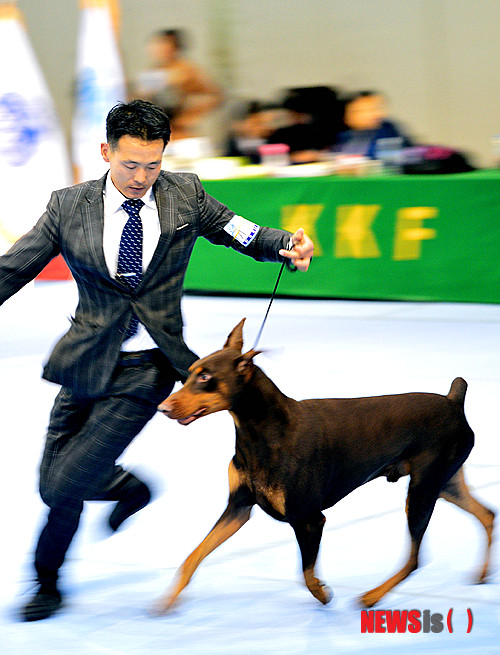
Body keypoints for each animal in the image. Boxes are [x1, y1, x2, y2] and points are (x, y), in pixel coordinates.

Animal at [157, 320, 496, 612]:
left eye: (205, 377)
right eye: (190, 372)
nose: (163, 407)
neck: (264, 431)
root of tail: (454, 402)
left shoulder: (308, 518)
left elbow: (306, 573)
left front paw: (322, 592)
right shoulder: (239, 507)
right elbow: (193, 556)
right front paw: (167, 601)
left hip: (423, 489)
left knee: (415, 558)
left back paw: (371, 596)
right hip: (445, 483)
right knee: (487, 515)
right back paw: (482, 574)